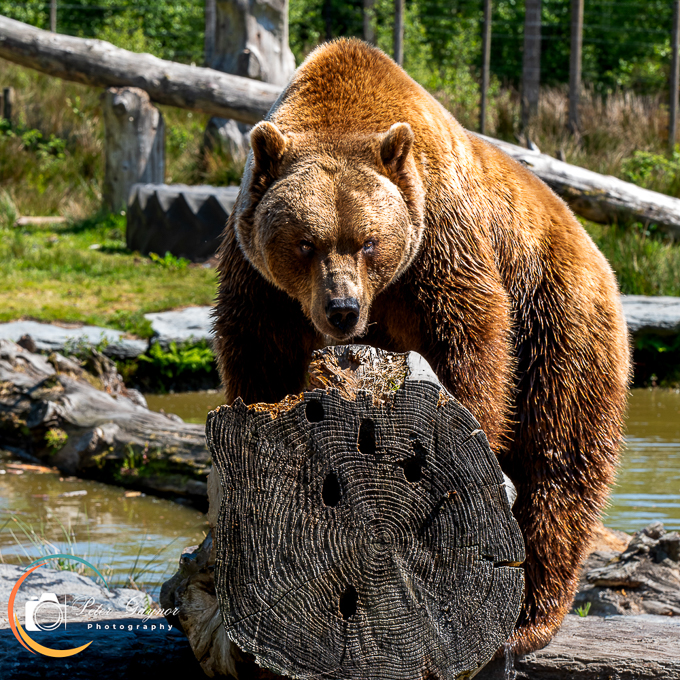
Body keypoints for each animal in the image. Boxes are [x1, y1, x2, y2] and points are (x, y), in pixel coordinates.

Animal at [213, 38, 631, 655]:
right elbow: (260, 354)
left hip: (559, 315)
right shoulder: (263, 281)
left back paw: (530, 616)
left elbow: (466, 339)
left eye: (368, 241)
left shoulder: (439, 235)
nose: (342, 310)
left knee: (560, 456)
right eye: (305, 242)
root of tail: (595, 250)